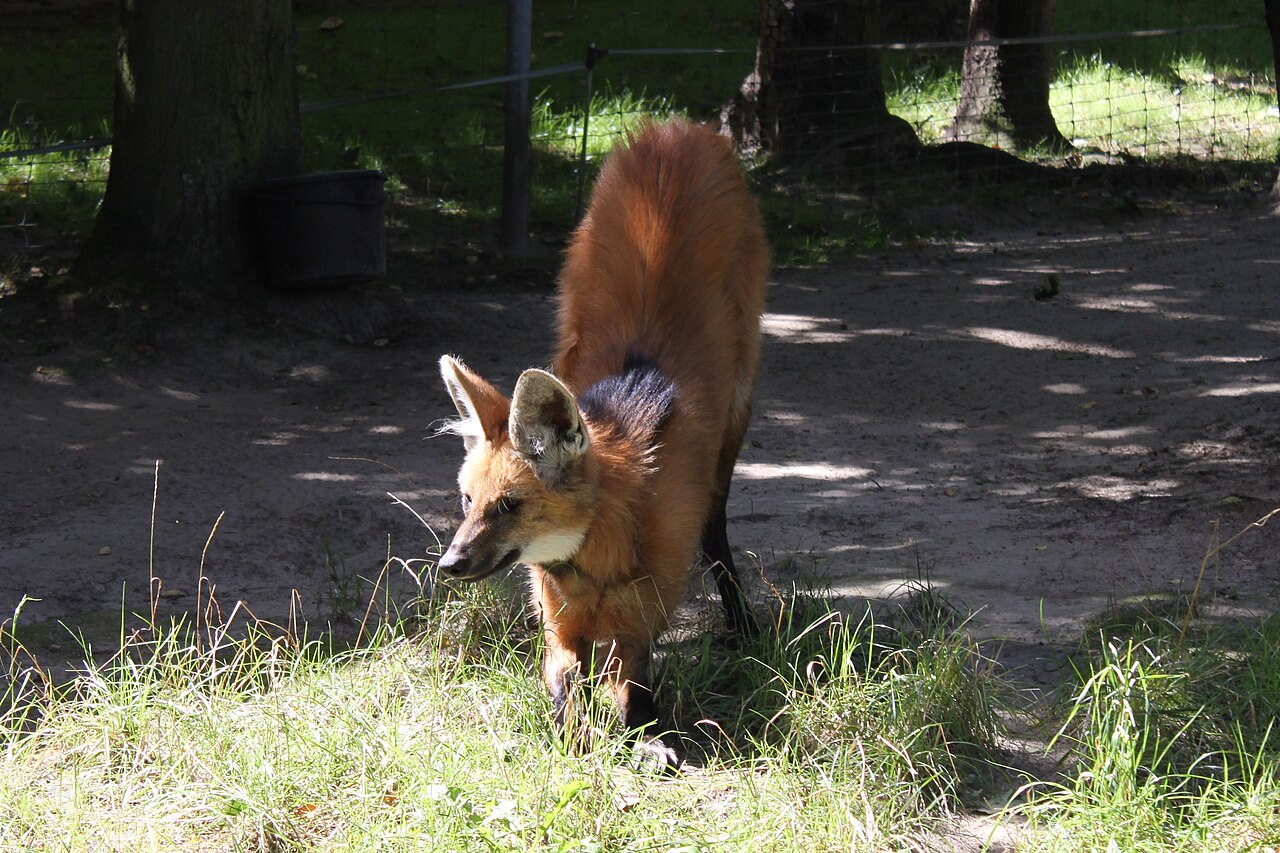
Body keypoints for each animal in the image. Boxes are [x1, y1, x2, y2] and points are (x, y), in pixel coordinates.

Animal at [435, 117, 762, 763]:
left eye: (509, 506)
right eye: (467, 501)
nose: (449, 564)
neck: (588, 557)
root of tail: (676, 131)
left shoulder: (639, 613)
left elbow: (630, 687)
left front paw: (647, 738)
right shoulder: (560, 622)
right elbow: (565, 690)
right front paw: (576, 738)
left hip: (739, 400)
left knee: (717, 521)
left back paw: (741, 622)